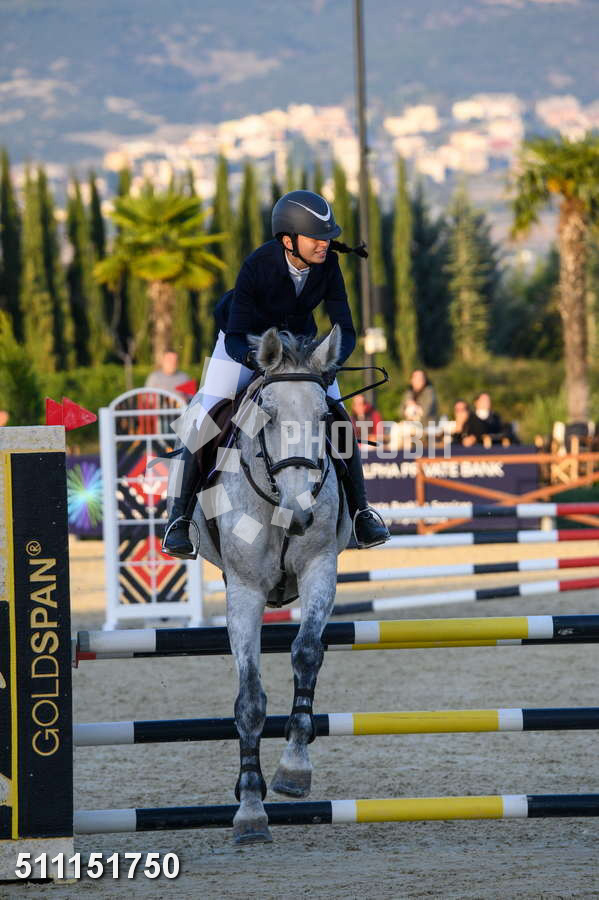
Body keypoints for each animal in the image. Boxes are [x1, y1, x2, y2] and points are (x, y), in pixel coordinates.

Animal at [179, 325, 351, 843]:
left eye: (324, 417)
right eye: (268, 417)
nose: (299, 515)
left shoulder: (320, 569)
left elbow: (307, 653)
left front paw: (294, 768)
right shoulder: (246, 591)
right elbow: (250, 701)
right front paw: (251, 809)